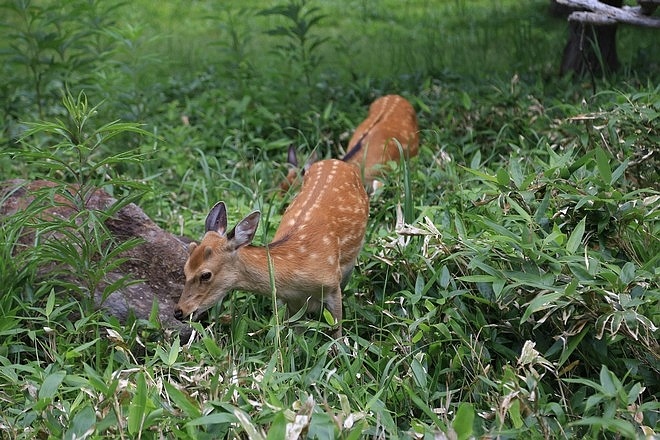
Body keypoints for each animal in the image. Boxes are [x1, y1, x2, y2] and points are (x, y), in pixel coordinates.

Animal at [175, 160, 368, 338]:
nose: (179, 311)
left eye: (205, 275)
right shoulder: (289, 302)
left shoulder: (332, 286)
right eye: (185, 269)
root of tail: (337, 161)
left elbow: (336, 332)